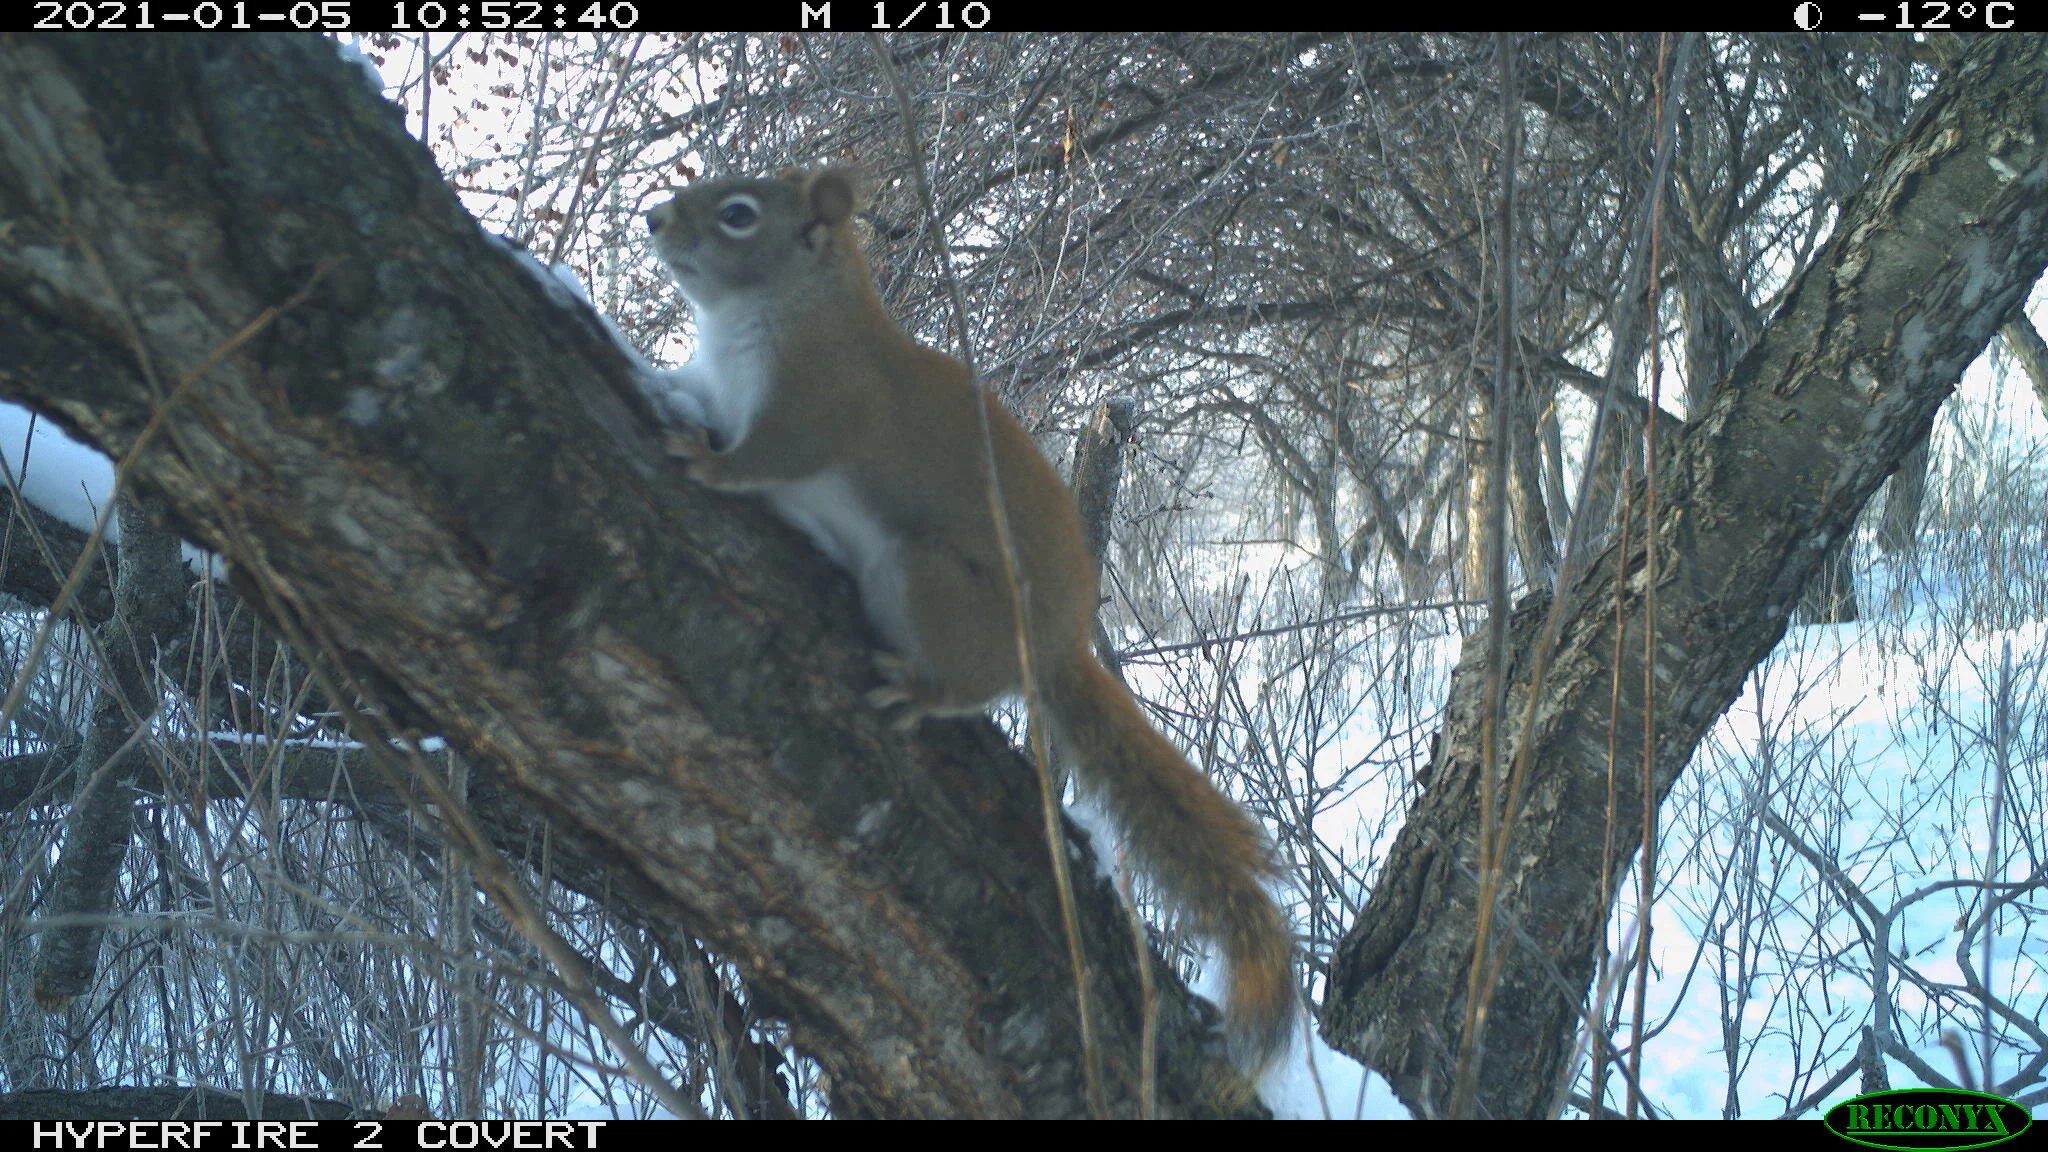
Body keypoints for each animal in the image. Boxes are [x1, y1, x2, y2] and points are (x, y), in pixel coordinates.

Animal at [644, 166, 1295, 1076]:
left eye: (739, 215)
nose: (653, 219)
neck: (779, 313)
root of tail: (1055, 647)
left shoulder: (819, 405)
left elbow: (770, 457)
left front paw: (706, 464)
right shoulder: (721, 383)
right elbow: (694, 387)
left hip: (929, 584)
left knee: (969, 688)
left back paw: (918, 691)